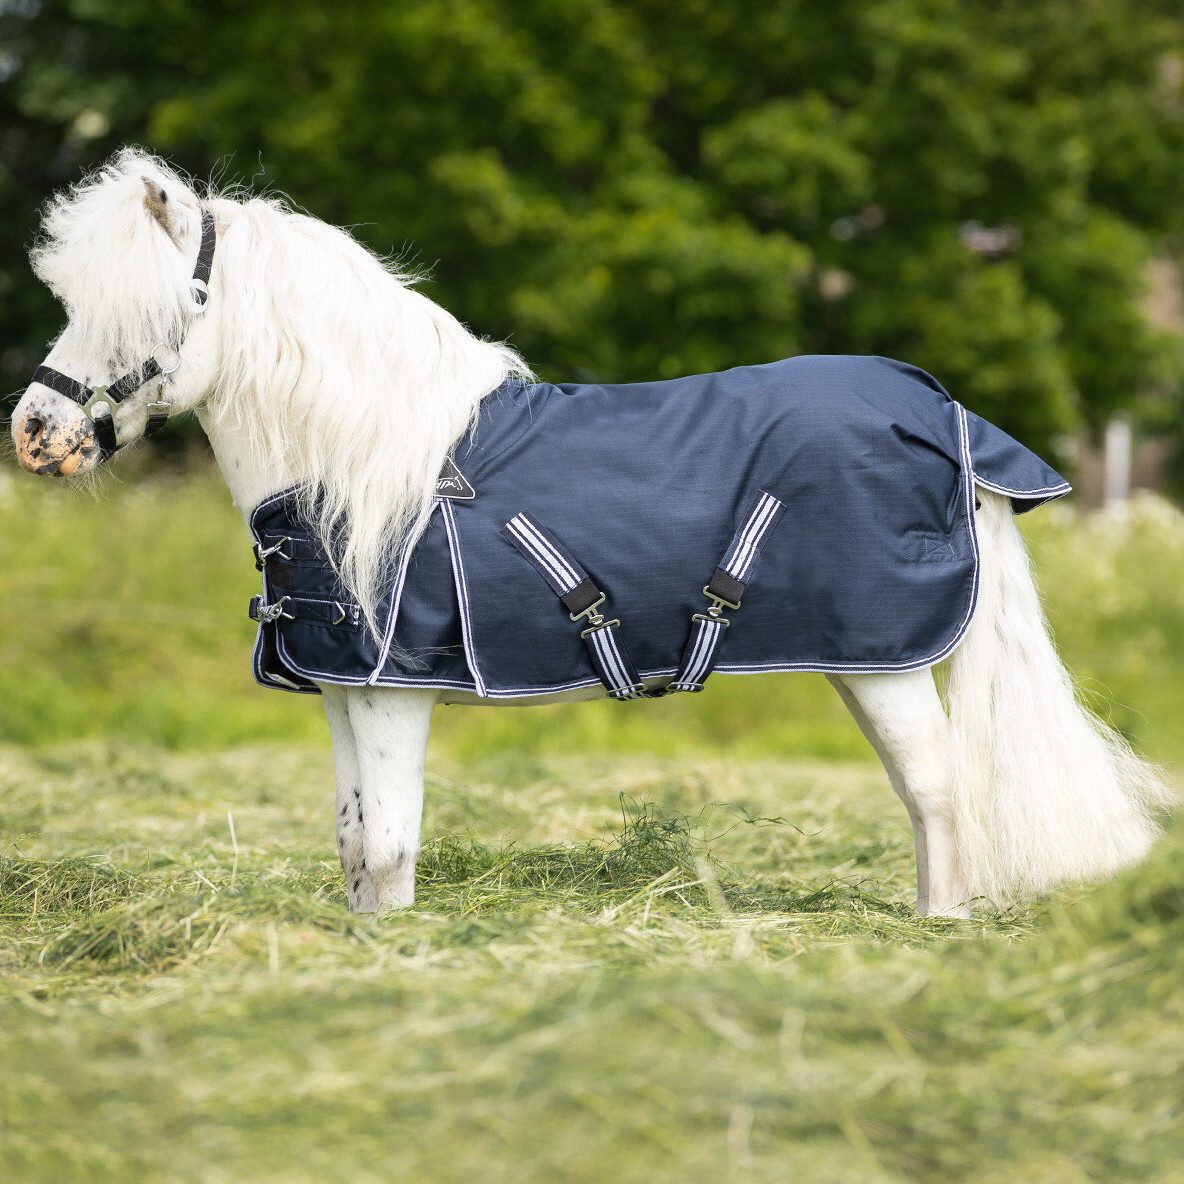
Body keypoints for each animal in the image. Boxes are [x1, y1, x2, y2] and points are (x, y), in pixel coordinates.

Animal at [11, 149, 1172, 916]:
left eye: (155, 310)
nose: (33, 431)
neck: (367, 461)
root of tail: (946, 414)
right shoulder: (346, 689)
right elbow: (354, 847)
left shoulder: (394, 692)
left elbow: (389, 849)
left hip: (881, 660)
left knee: (937, 795)